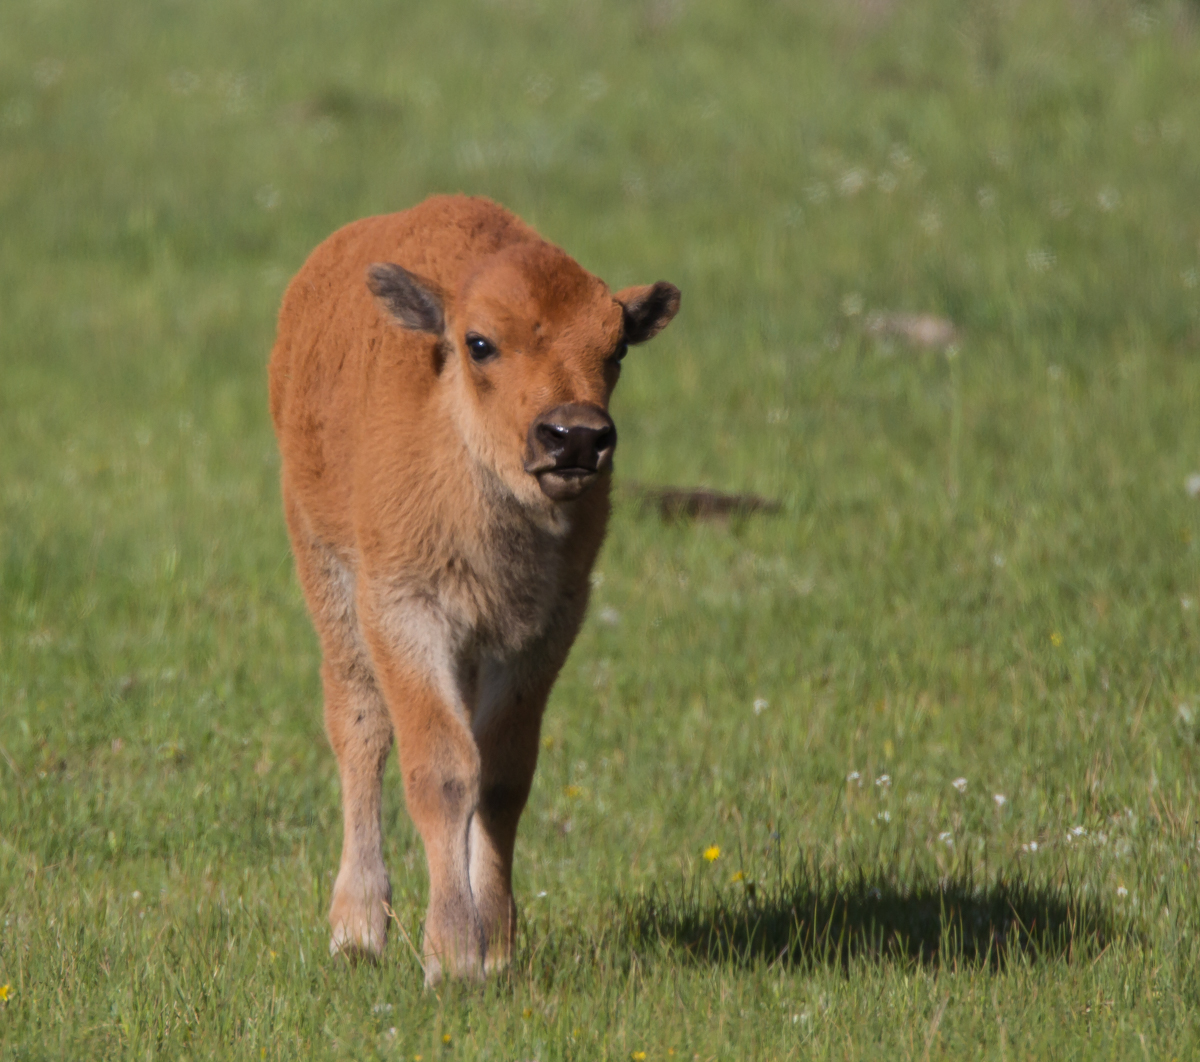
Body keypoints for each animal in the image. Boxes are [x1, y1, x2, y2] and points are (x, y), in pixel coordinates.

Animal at [268, 195, 680, 984]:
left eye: (615, 348)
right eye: (480, 343)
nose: (574, 438)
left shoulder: (541, 630)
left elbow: (502, 776)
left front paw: (497, 947)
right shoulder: (404, 613)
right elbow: (442, 770)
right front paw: (453, 955)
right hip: (326, 575)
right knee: (358, 728)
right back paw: (357, 928)